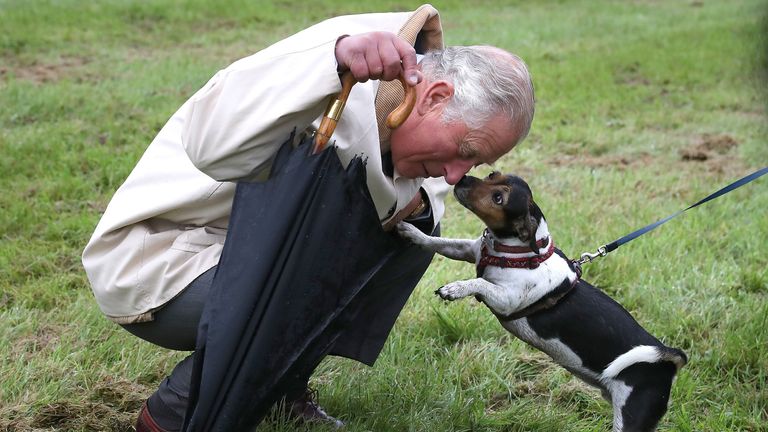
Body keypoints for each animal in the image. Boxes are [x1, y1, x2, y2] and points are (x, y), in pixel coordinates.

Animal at [400, 172, 688, 432]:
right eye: (493, 175)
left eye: (498, 198)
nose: (462, 179)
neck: (516, 251)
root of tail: (669, 357)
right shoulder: (467, 251)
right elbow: (440, 243)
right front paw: (412, 232)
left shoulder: (505, 299)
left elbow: (480, 283)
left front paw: (455, 288)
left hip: (632, 417)